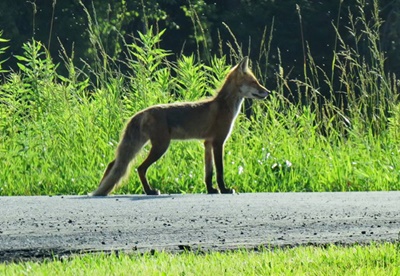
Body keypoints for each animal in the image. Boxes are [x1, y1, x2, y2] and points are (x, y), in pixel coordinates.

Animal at [91, 57, 268, 196]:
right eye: (254, 82)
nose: (268, 92)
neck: (224, 105)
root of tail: (141, 112)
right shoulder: (218, 142)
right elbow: (219, 171)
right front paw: (224, 190)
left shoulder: (207, 143)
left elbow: (208, 173)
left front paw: (211, 190)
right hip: (160, 147)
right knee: (140, 168)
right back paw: (149, 191)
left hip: (140, 145)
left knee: (112, 164)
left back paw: (101, 191)